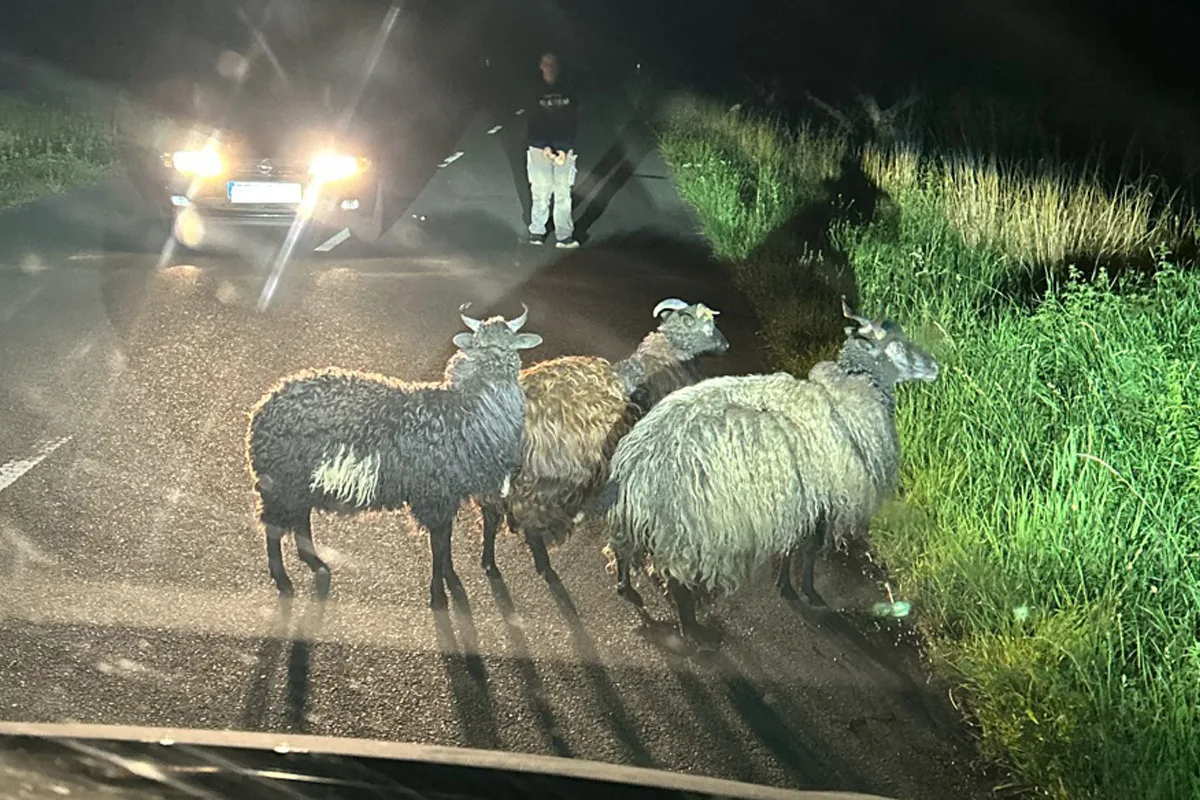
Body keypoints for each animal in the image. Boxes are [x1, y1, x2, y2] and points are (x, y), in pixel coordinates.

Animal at [245, 303, 543, 610]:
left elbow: (445, 542)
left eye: (510, 344)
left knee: (299, 518)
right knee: (273, 527)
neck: (467, 408)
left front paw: (451, 580)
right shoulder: (434, 496)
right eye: (481, 344)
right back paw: (283, 580)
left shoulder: (445, 496)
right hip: (281, 481)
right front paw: (438, 595)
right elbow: (438, 545)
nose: (496, 362)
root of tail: (262, 409)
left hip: (299, 481)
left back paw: (316, 564)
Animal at [478, 298, 731, 583]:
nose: (726, 346)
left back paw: (489, 561)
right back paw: (544, 567)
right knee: (529, 525)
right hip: (540, 483)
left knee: (491, 514)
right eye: (708, 326)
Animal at [600, 298, 939, 644]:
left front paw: (786, 586)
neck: (850, 389)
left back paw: (628, 591)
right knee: (676, 579)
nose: (935, 366)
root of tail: (636, 465)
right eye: (897, 343)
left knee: (623, 552)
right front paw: (809, 593)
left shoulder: (799, 496)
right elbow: (811, 547)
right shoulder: (825, 495)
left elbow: (793, 545)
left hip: (640, 525)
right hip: (687, 527)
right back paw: (694, 630)